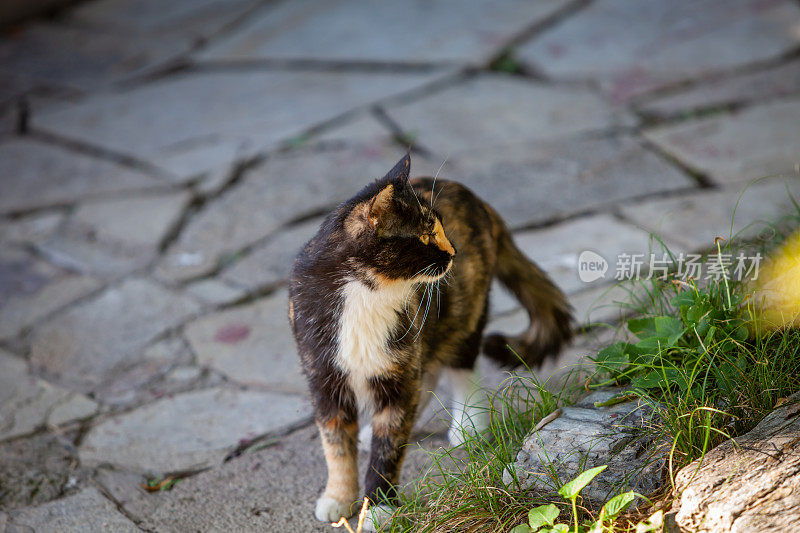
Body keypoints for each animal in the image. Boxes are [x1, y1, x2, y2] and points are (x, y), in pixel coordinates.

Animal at [290, 155, 572, 528]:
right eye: (425, 235)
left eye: (439, 227)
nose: (453, 252)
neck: (366, 293)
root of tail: (476, 199)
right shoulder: (324, 377)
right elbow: (335, 445)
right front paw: (338, 497)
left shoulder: (400, 363)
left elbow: (390, 446)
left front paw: (378, 507)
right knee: (428, 372)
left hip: (463, 310)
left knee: (459, 363)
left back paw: (468, 425)